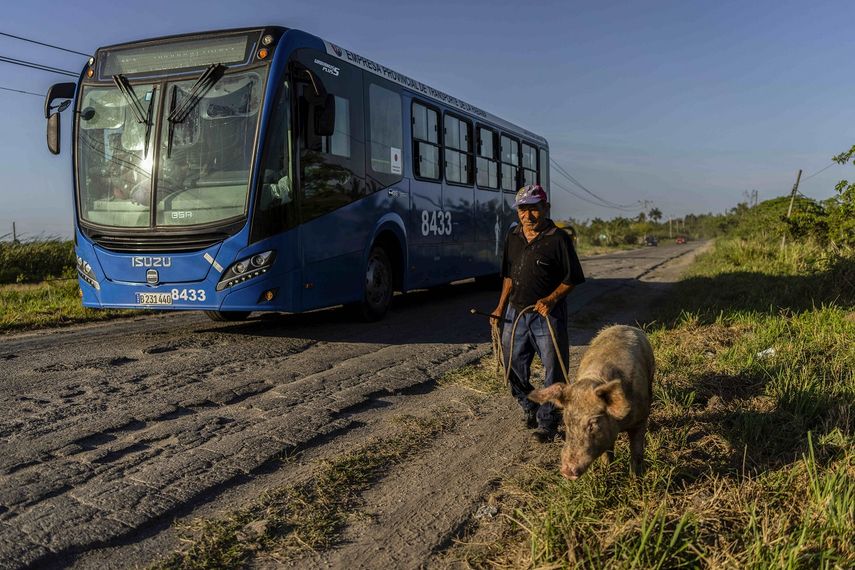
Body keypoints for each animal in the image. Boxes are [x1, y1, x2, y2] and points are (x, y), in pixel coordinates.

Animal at [528, 325, 654, 480]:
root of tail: (622, 326)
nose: (566, 471)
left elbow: (637, 453)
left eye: (593, 424)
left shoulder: (640, 419)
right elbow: (607, 454)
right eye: (567, 422)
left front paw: (636, 479)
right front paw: (607, 473)